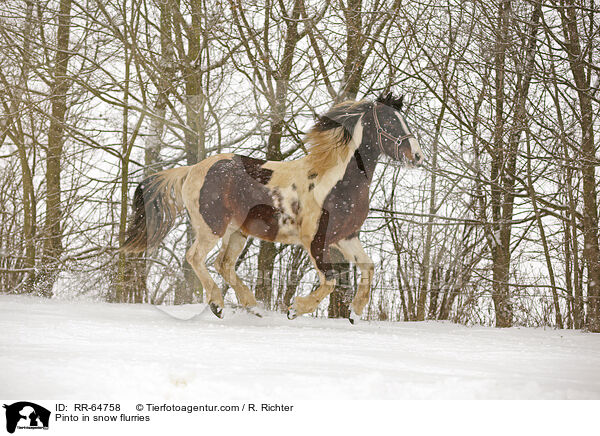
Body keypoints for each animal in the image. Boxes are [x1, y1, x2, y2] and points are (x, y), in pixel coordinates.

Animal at [120, 93, 422, 324]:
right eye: (389, 121)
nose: (417, 156)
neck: (335, 181)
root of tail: (193, 169)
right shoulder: (315, 240)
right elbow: (331, 281)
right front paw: (294, 309)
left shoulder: (346, 236)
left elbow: (368, 267)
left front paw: (355, 314)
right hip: (211, 228)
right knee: (195, 257)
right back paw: (218, 304)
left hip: (237, 232)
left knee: (223, 264)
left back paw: (252, 306)